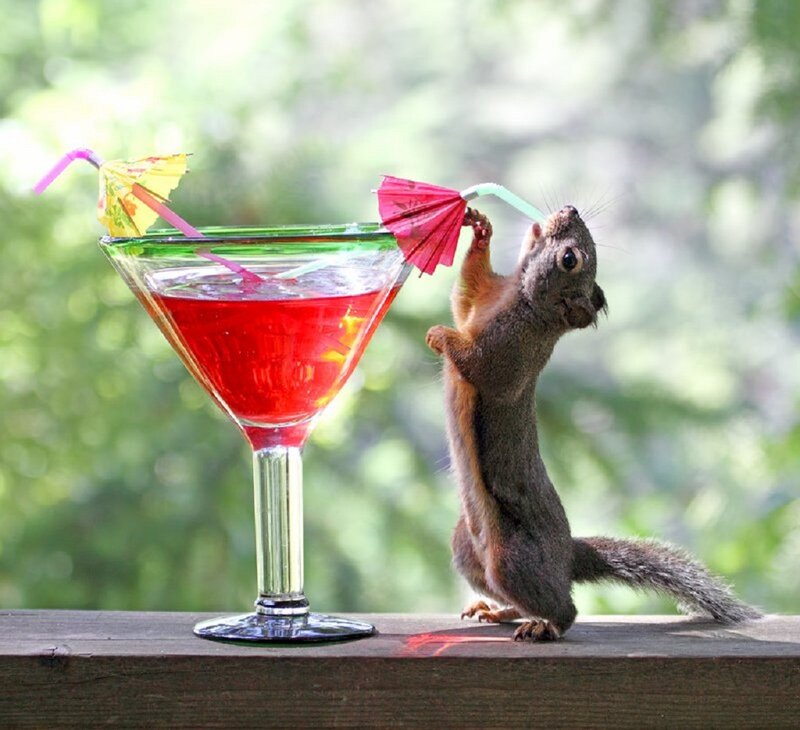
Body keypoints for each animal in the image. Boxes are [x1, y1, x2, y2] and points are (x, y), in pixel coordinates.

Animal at [425, 205, 762, 641]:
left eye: (570, 259)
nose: (570, 209)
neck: (519, 299)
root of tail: (567, 555)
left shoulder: (508, 355)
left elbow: (476, 363)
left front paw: (440, 335)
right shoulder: (480, 301)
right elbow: (464, 293)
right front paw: (481, 230)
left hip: (511, 560)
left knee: (565, 608)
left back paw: (544, 626)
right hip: (467, 548)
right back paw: (498, 611)